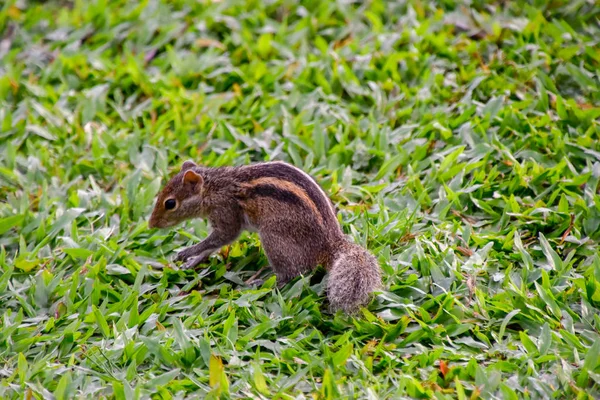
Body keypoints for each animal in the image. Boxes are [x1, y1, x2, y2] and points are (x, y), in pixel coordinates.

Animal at [148, 159, 382, 312]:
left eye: (170, 203)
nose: (151, 224)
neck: (214, 187)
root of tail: (331, 243)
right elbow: (213, 245)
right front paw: (194, 261)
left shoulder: (226, 215)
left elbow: (219, 238)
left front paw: (186, 252)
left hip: (273, 238)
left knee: (292, 273)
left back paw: (260, 282)